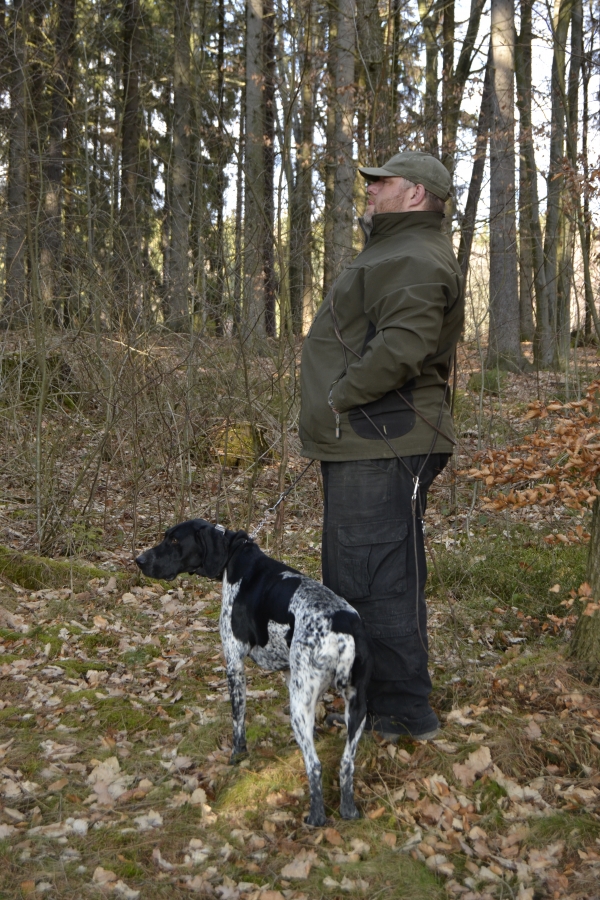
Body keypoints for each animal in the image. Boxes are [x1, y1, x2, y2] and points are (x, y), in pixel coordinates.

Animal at [135, 518, 373, 826]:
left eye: (175, 540)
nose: (139, 560)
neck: (234, 555)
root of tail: (343, 630)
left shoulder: (234, 664)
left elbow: (238, 721)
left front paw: (237, 756)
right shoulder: (289, 672)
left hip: (300, 705)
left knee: (316, 765)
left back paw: (316, 816)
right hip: (356, 707)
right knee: (346, 764)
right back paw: (348, 810)